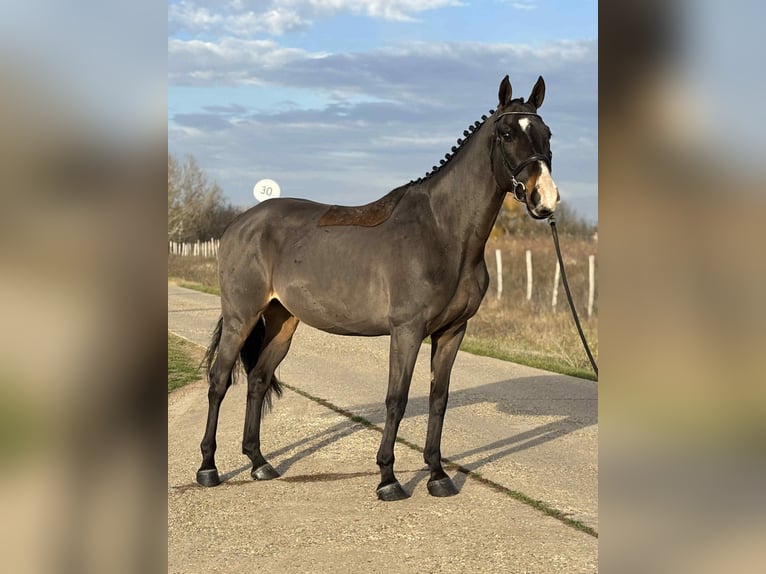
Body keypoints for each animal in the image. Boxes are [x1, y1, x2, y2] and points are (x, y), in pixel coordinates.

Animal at [196, 75, 560, 501]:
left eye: (547, 134)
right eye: (506, 133)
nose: (545, 199)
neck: (442, 232)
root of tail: (239, 224)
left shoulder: (453, 332)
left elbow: (438, 400)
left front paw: (438, 475)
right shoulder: (407, 331)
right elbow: (396, 400)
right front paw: (388, 479)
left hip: (282, 321)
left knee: (257, 379)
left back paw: (259, 463)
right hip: (242, 317)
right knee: (219, 381)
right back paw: (208, 468)